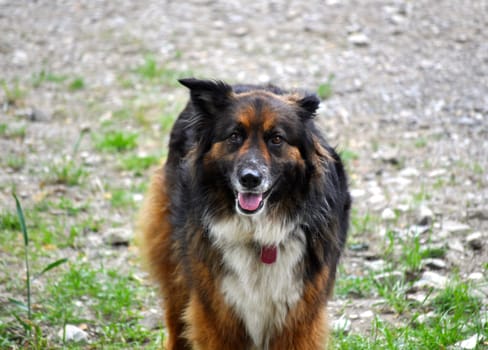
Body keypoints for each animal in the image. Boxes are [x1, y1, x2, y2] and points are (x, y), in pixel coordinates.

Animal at [139, 79, 348, 350]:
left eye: (277, 139)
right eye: (234, 136)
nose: (250, 178)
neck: (258, 235)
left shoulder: (299, 318)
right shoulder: (218, 313)